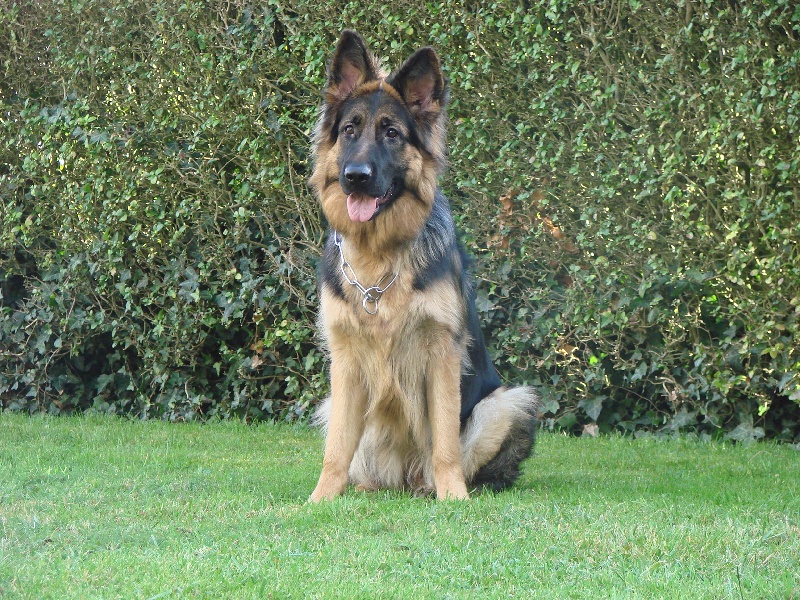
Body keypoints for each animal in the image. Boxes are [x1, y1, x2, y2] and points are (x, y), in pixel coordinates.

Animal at [308, 30, 539, 501]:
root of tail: (406, 480)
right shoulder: (345, 362)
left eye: (392, 134)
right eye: (349, 130)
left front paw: (454, 498)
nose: (355, 176)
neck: (379, 254)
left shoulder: (441, 355)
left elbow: (446, 442)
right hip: (338, 407)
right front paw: (319, 500)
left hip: (508, 403)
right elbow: (336, 449)